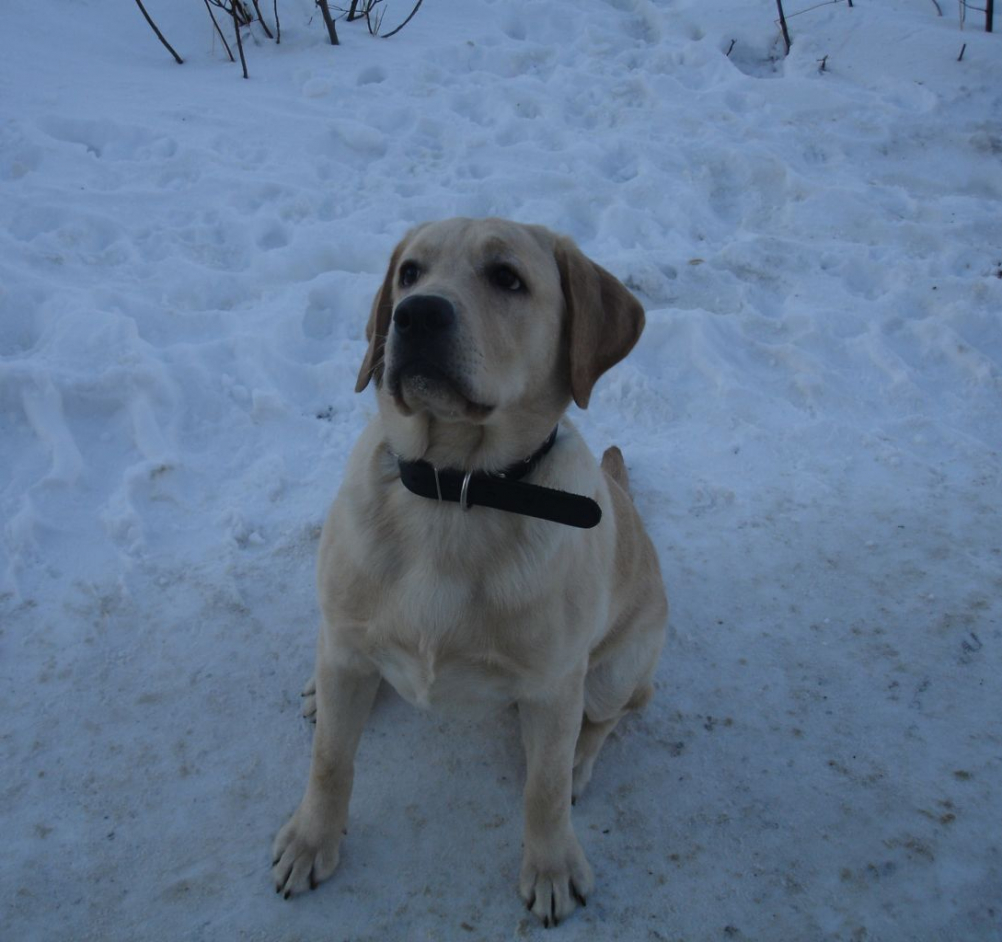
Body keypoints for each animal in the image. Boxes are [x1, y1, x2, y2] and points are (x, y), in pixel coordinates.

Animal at [272, 218, 668, 927]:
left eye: (507, 278)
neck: (454, 491)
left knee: (613, 715)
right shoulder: (345, 641)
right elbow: (330, 762)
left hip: (613, 671)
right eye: (409, 273)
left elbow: (542, 790)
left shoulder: (554, 685)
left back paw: (580, 761)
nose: (415, 315)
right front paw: (311, 839)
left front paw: (552, 865)